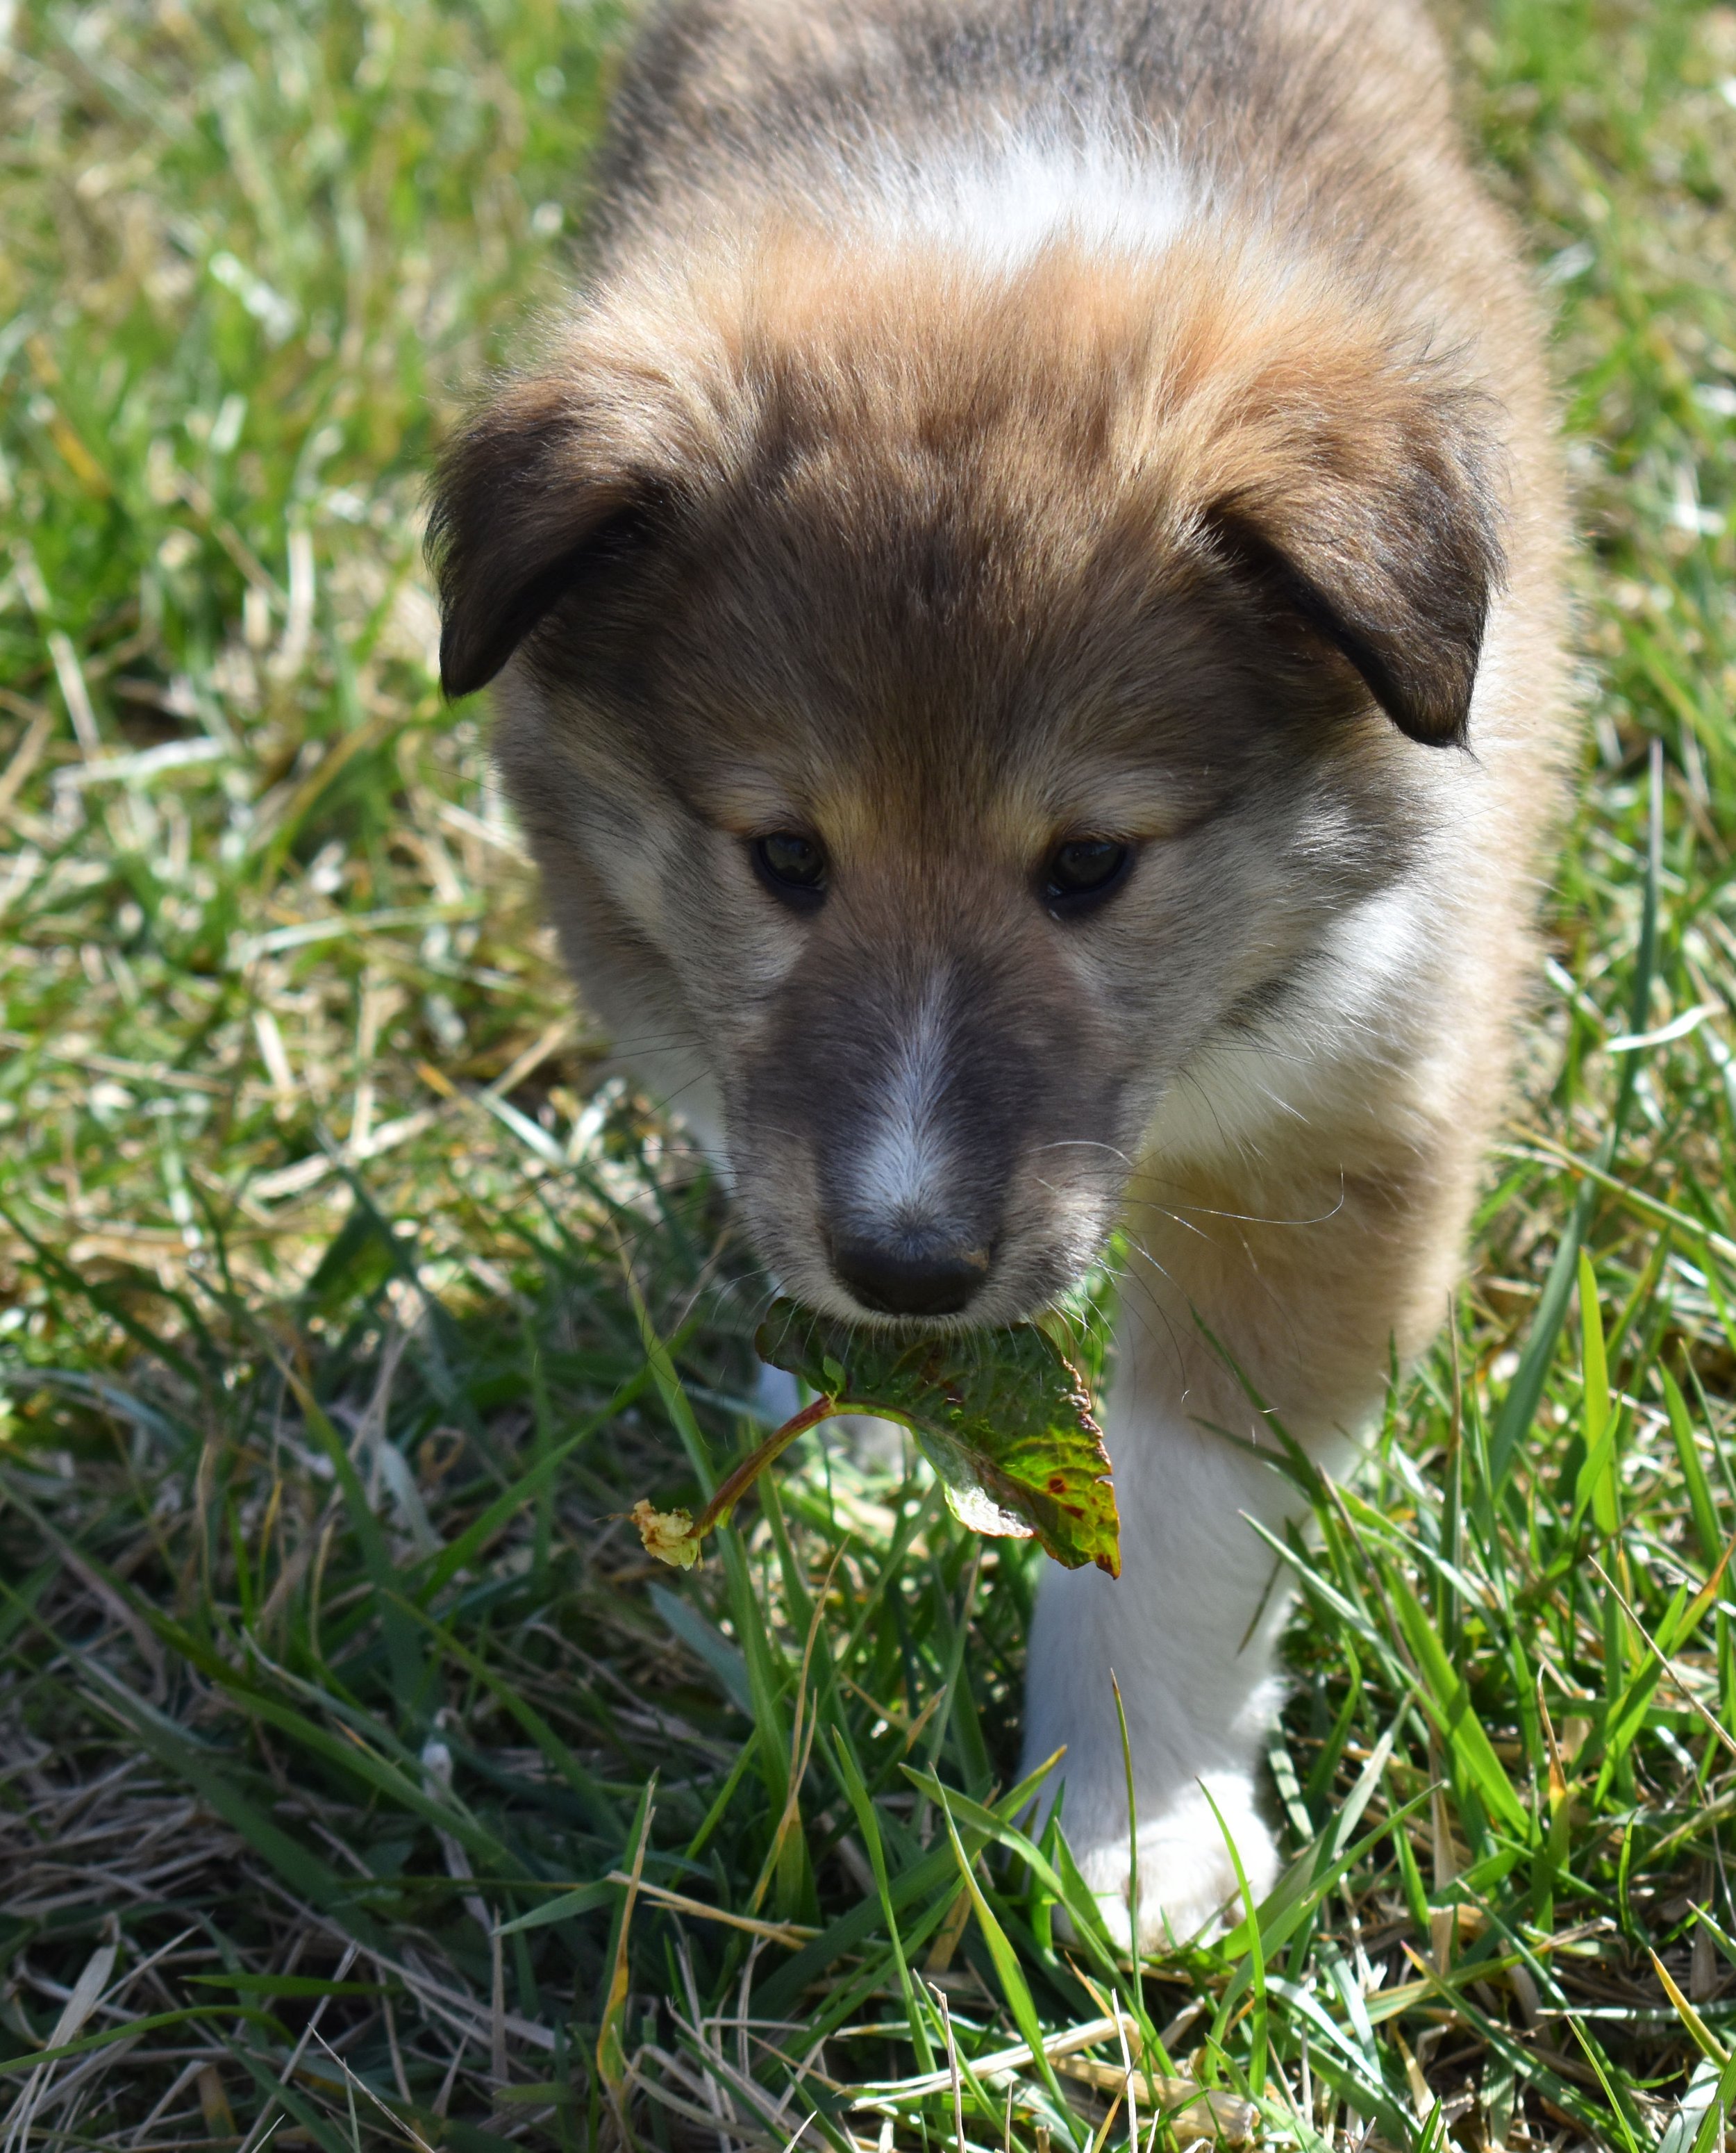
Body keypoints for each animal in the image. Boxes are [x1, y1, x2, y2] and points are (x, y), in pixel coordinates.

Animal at [435, 0, 1576, 1954]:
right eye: (784, 855)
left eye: (1090, 864)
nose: (905, 1265)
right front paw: (868, 1432)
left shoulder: (1334, 1120)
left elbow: (1179, 1501)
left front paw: (1132, 1833)